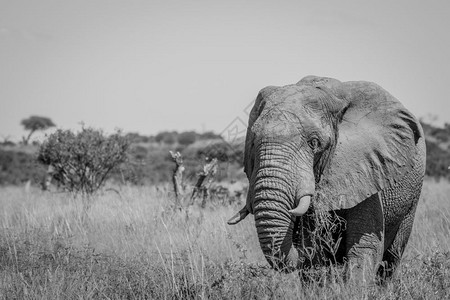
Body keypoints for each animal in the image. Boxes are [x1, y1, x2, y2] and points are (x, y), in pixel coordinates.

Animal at [229, 75, 426, 282]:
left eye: (314, 142)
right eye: (252, 142)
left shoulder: (367, 167)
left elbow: (366, 245)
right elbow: (313, 252)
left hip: (411, 199)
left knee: (392, 257)